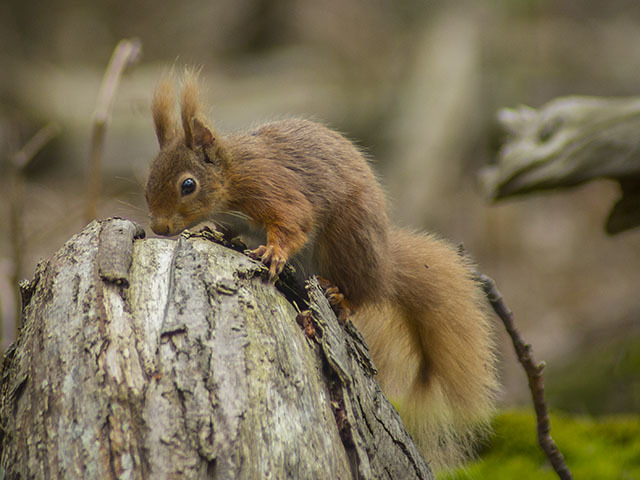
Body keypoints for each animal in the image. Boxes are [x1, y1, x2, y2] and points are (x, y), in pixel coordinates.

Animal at [144, 71, 498, 470]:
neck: (233, 173)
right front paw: (211, 232)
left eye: (188, 184)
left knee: (362, 294)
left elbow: (293, 222)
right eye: (149, 178)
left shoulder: (271, 187)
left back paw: (340, 296)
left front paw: (273, 253)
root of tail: (384, 269)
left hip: (347, 239)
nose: (159, 227)